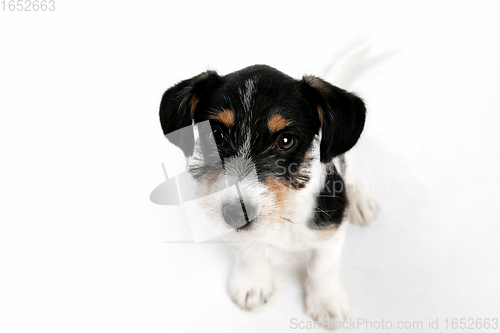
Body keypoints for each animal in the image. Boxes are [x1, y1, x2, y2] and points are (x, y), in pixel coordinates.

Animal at [160, 61, 378, 324]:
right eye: (216, 135)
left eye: (285, 141)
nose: (236, 213)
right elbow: (248, 253)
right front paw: (251, 284)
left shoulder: (331, 226)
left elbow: (323, 266)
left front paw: (326, 300)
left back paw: (361, 201)